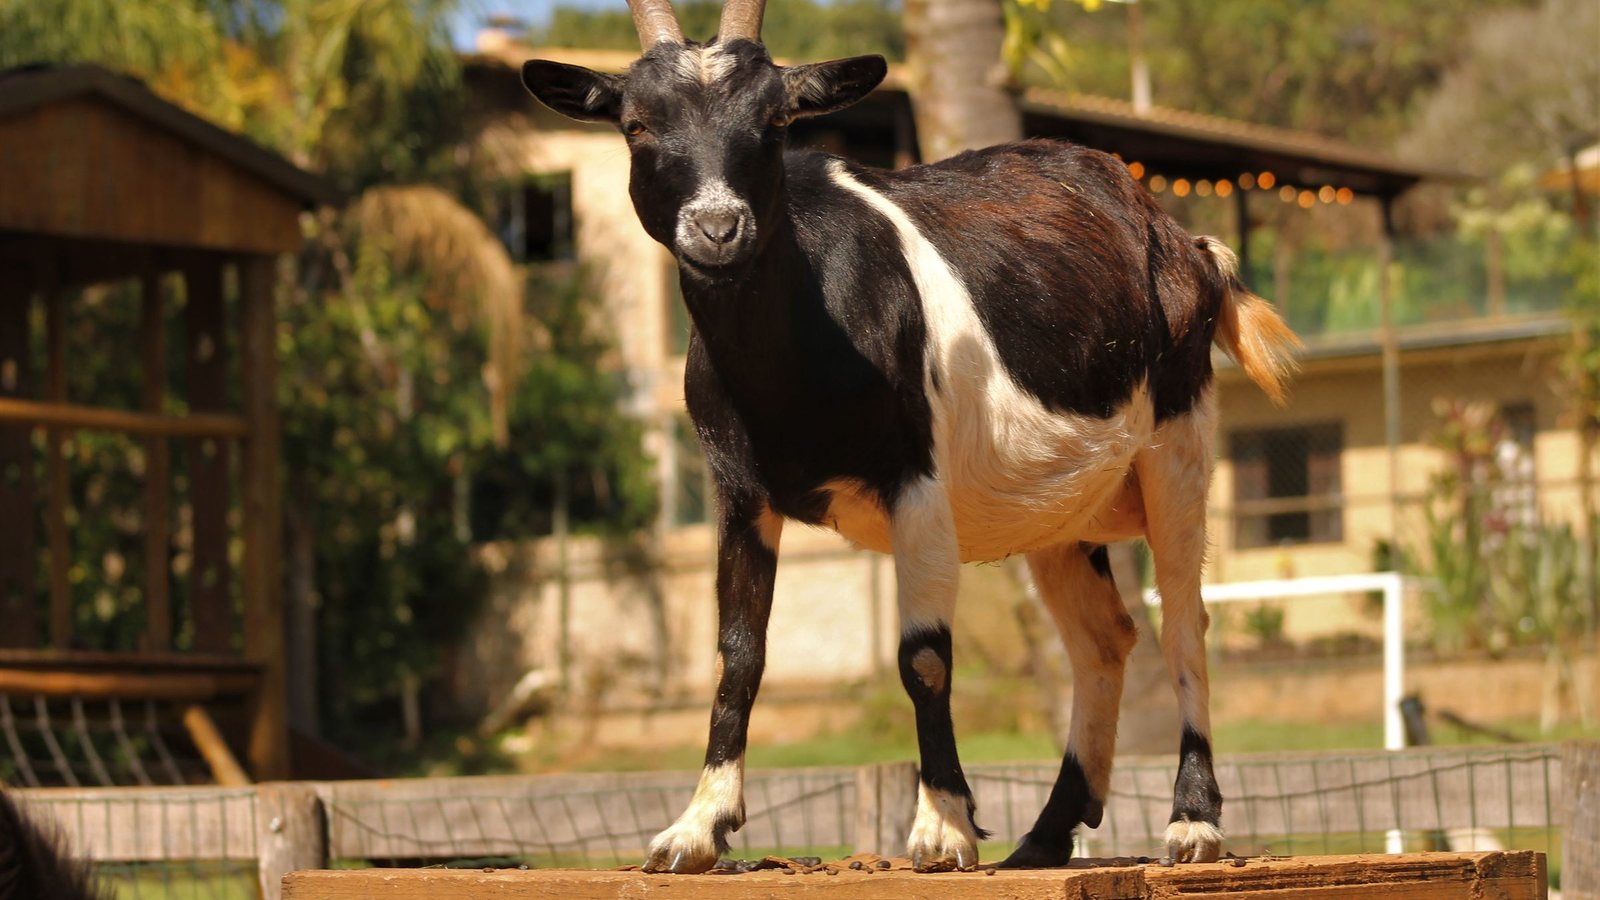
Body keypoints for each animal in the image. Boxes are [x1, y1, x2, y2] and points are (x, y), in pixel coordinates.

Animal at [522, 0, 1300, 873]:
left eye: (775, 121)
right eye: (636, 124)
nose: (718, 228)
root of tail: (1179, 237)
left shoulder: (915, 481)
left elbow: (923, 654)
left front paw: (943, 826)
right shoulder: (740, 493)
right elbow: (739, 651)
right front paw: (697, 826)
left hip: (1178, 440)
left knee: (1184, 621)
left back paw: (1192, 821)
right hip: (1058, 511)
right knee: (1105, 637)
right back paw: (1045, 833)